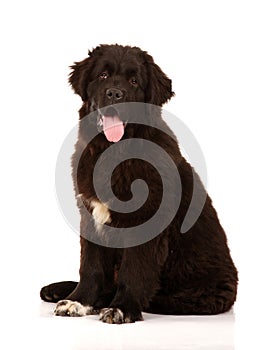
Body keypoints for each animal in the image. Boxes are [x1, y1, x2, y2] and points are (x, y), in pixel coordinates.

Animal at [39, 45, 239, 324]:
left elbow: (133, 270)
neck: (113, 152)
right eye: (103, 75)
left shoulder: (147, 219)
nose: (115, 93)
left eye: (134, 81)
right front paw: (79, 301)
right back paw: (59, 290)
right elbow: (90, 266)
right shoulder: (89, 215)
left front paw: (122, 308)